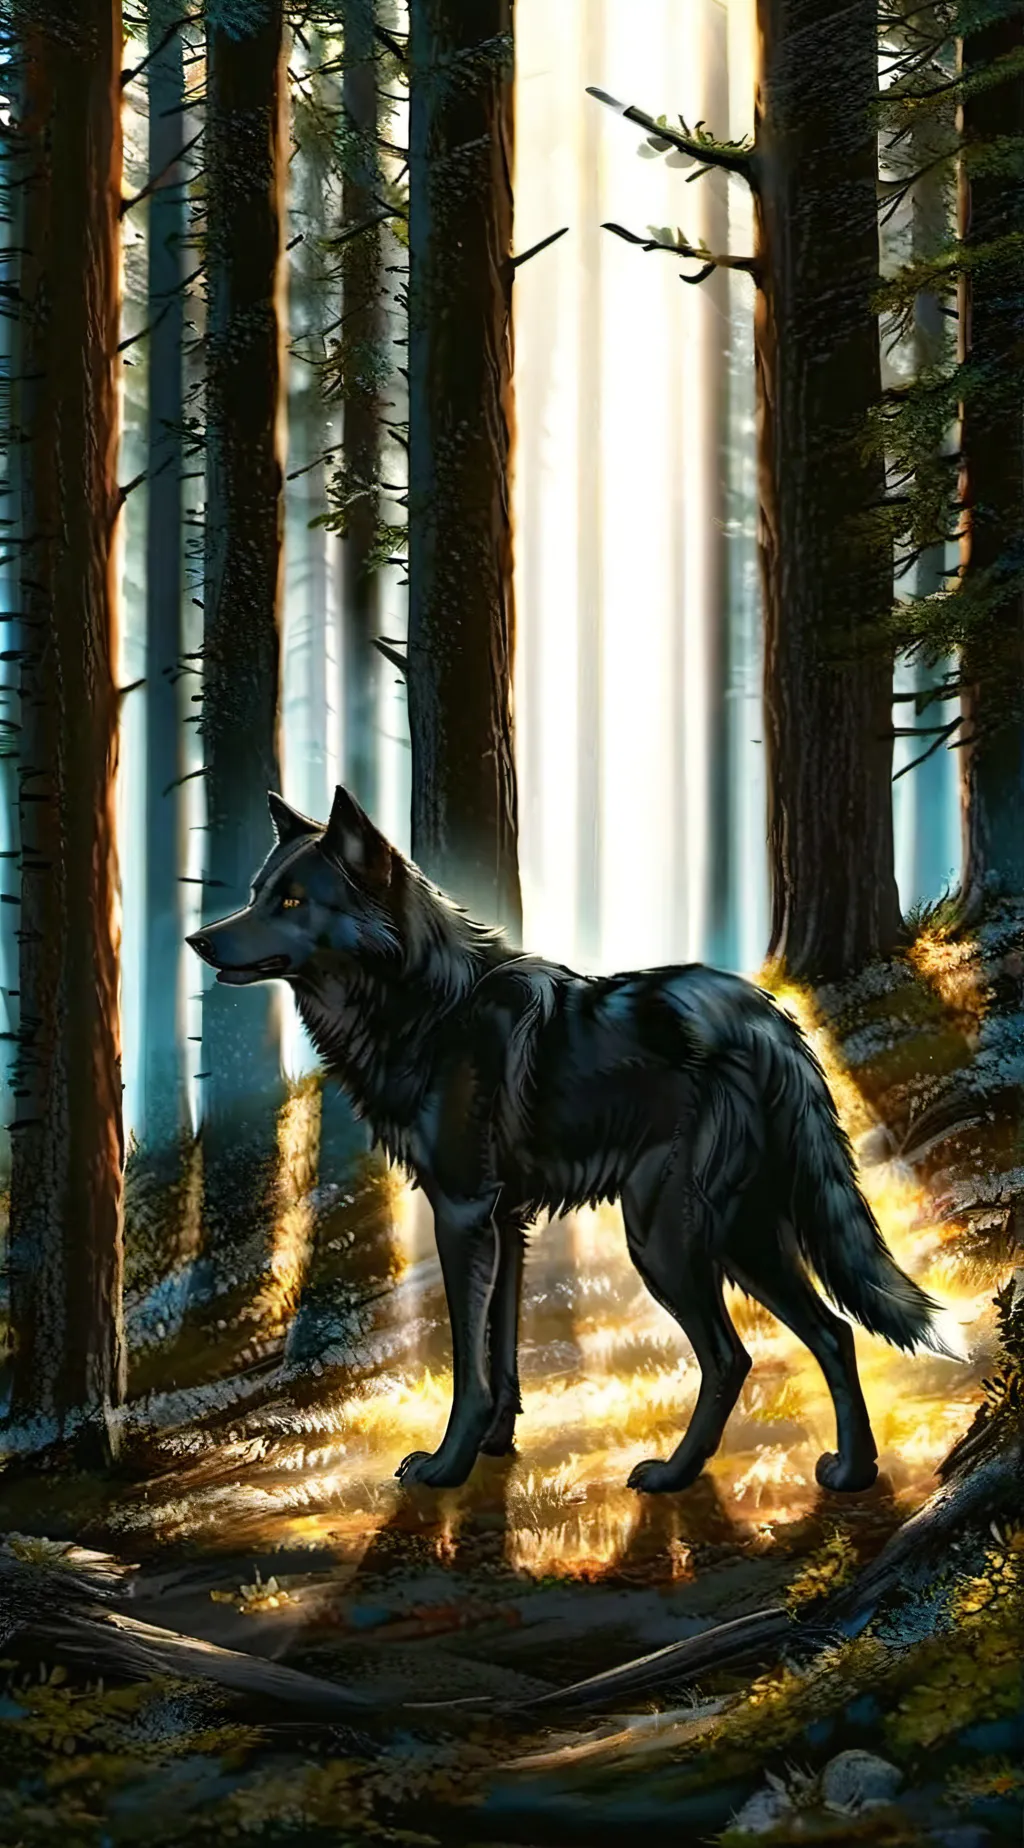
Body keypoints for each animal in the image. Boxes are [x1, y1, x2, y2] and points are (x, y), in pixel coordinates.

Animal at [188, 786, 951, 1496]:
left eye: (291, 901)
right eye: (257, 895)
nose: (199, 941)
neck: (430, 1008)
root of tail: (767, 1019)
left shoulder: (462, 1214)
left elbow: (466, 1362)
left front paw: (447, 1465)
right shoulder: (504, 1221)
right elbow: (500, 1352)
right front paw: (494, 1445)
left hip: (667, 1236)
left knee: (734, 1355)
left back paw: (675, 1475)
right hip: (743, 1231)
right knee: (834, 1332)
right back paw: (852, 1471)